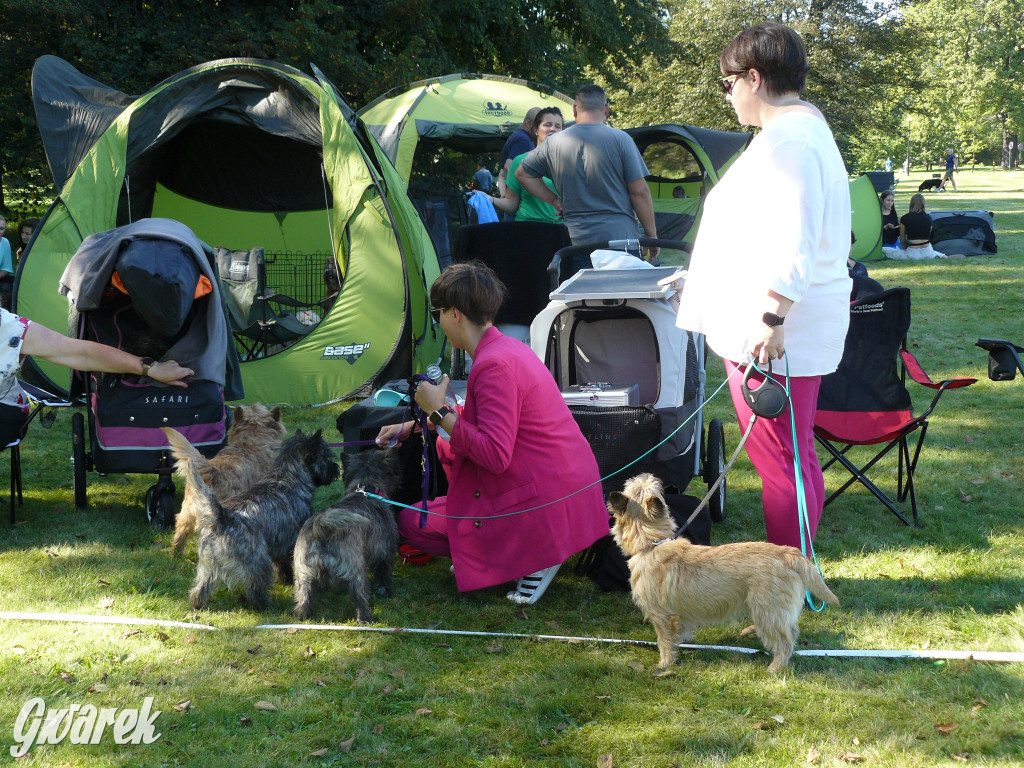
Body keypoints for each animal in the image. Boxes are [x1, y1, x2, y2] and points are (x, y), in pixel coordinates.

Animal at [182, 428, 342, 614]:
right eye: (327, 457)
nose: (337, 469)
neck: (287, 476)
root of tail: (222, 518)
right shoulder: (291, 540)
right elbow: (288, 564)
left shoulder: (279, 545)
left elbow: (282, 565)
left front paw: (286, 580)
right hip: (259, 561)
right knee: (255, 589)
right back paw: (267, 606)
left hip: (207, 565)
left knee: (199, 588)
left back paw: (198, 606)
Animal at [294, 450, 401, 626]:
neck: (367, 487)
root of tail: (321, 529)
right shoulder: (385, 553)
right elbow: (383, 575)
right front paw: (385, 593)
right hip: (356, 571)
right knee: (360, 597)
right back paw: (366, 619)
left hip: (303, 575)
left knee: (304, 599)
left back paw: (304, 617)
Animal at [606, 475, 839, 671]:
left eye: (634, 485)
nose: (650, 475)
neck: (652, 543)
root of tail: (789, 552)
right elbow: (679, 632)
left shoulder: (661, 615)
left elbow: (663, 641)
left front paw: (664, 664)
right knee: (792, 632)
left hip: (767, 611)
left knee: (785, 642)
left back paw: (774, 668)